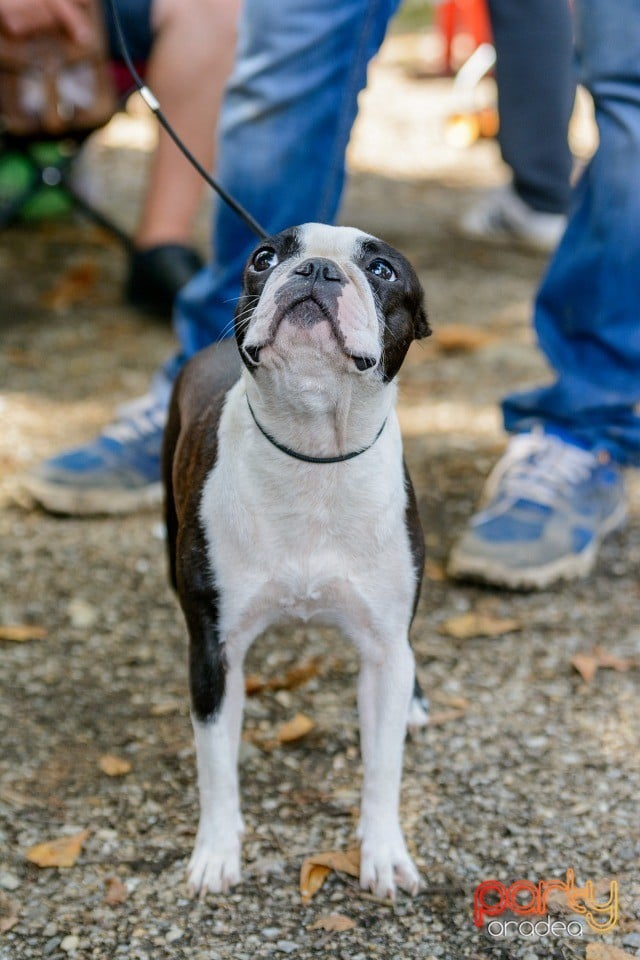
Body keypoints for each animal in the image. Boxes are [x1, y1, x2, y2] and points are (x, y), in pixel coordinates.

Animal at [165, 223, 432, 900]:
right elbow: (216, 765)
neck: (313, 452)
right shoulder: (213, 651)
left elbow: (383, 766)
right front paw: (216, 852)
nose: (316, 269)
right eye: (266, 257)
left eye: (383, 270)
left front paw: (383, 853)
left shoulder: (385, 652)